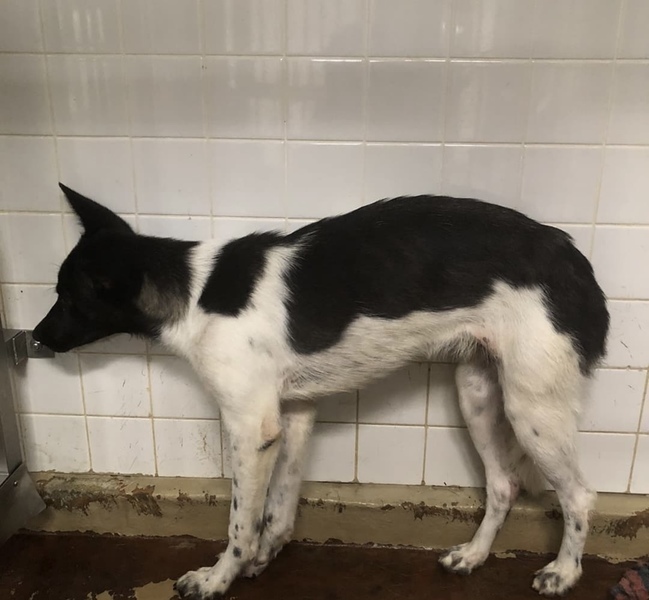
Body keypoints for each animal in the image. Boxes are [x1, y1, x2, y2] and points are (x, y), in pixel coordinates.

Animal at [34, 183, 609, 598]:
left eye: (68, 297)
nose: (35, 337)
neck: (194, 292)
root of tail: (572, 257)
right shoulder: (294, 414)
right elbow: (278, 509)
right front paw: (264, 558)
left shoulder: (252, 428)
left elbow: (240, 521)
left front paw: (218, 578)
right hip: (479, 393)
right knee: (504, 485)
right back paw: (474, 555)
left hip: (532, 406)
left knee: (580, 495)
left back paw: (563, 572)